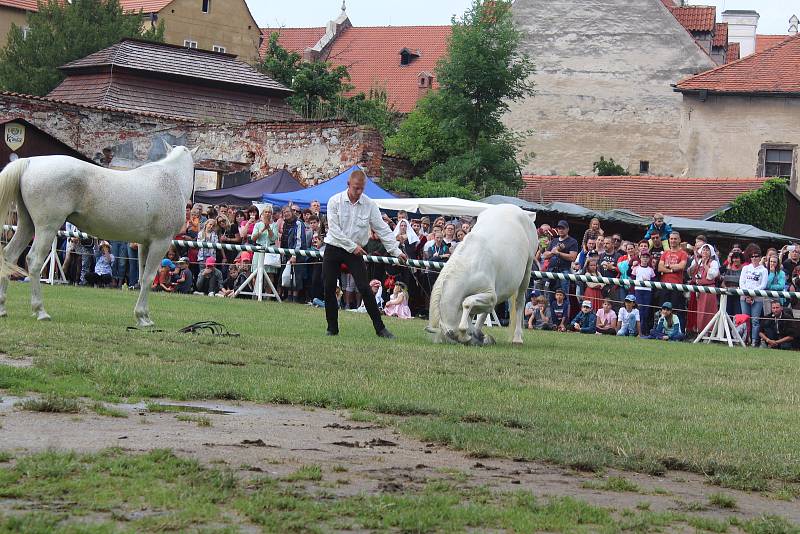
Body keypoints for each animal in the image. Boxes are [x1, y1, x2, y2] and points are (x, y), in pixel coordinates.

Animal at [0, 144, 196, 326]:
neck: (171, 179)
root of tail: (30, 162)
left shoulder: (144, 244)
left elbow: (141, 276)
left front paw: (143, 317)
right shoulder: (161, 242)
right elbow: (148, 278)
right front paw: (143, 318)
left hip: (27, 226)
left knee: (9, 256)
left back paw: (3, 309)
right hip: (46, 228)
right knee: (34, 260)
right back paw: (41, 311)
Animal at [424, 205, 536, 348]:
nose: (483, 340)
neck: (469, 264)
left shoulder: (489, 294)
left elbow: (467, 304)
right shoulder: (487, 296)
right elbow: (475, 309)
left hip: (527, 271)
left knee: (520, 302)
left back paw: (517, 338)